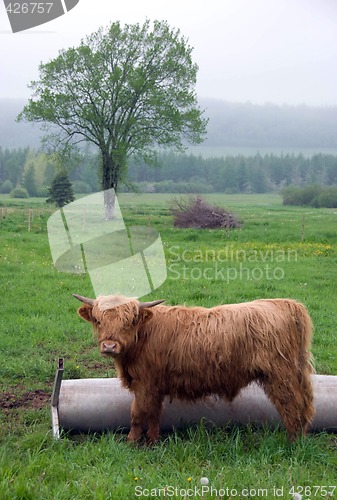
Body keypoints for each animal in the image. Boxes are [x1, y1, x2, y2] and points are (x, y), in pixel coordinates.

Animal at [74, 294, 316, 444]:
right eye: (98, 320)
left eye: (130, 321)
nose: (109, 346)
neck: (143, 337)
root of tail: (284, 303)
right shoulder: (154, 386)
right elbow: (153, 413)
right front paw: (153, 440)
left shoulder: (145, 384)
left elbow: (137, 414)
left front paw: (131, 442)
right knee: (304, 404)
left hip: (280, 376)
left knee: (293, 405)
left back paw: (293, 443)